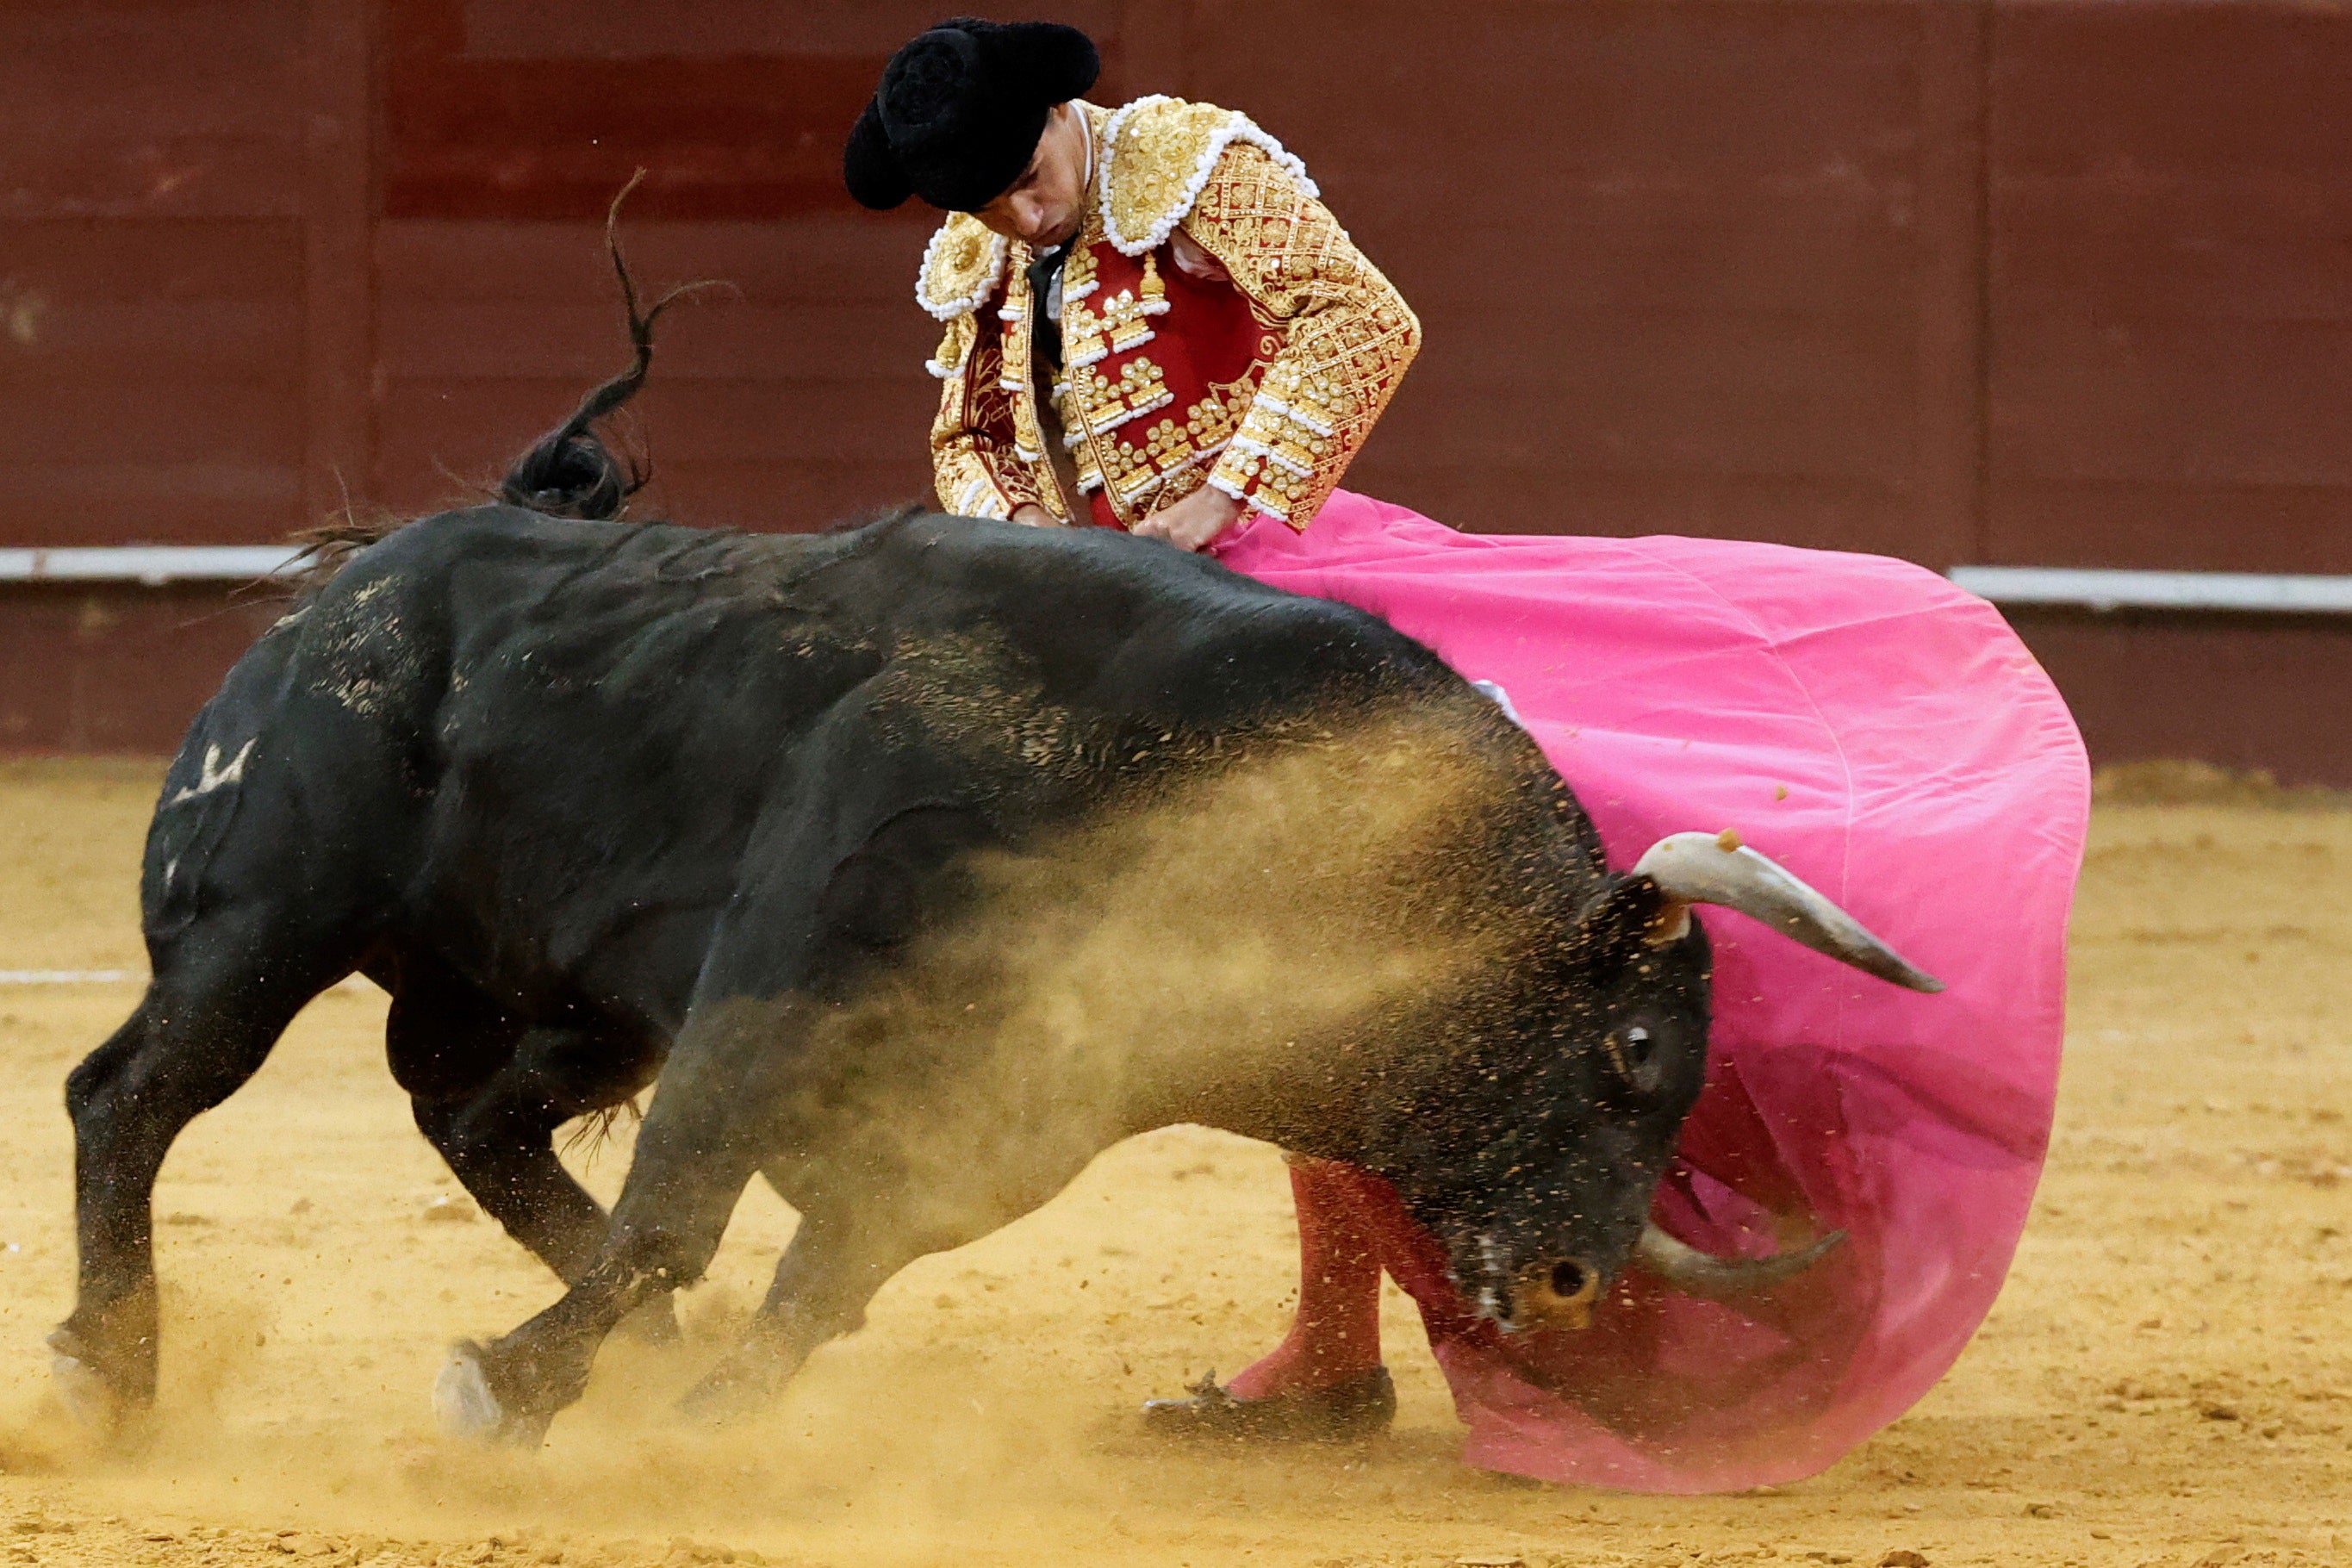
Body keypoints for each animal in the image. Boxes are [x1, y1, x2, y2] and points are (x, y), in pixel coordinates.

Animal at [55, 502, 1928, 1447]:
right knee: (125, 1094)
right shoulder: (780, 981)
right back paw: (113, 1373)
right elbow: (685, 1210)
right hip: (262, 918)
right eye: (1633, 1048)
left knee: (473, 1118)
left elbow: (814, 1283)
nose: (1568, 1283)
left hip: (563, 1004)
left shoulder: (989, 1129)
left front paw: (702, 1417)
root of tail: (355, 581)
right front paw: (507, 1388)